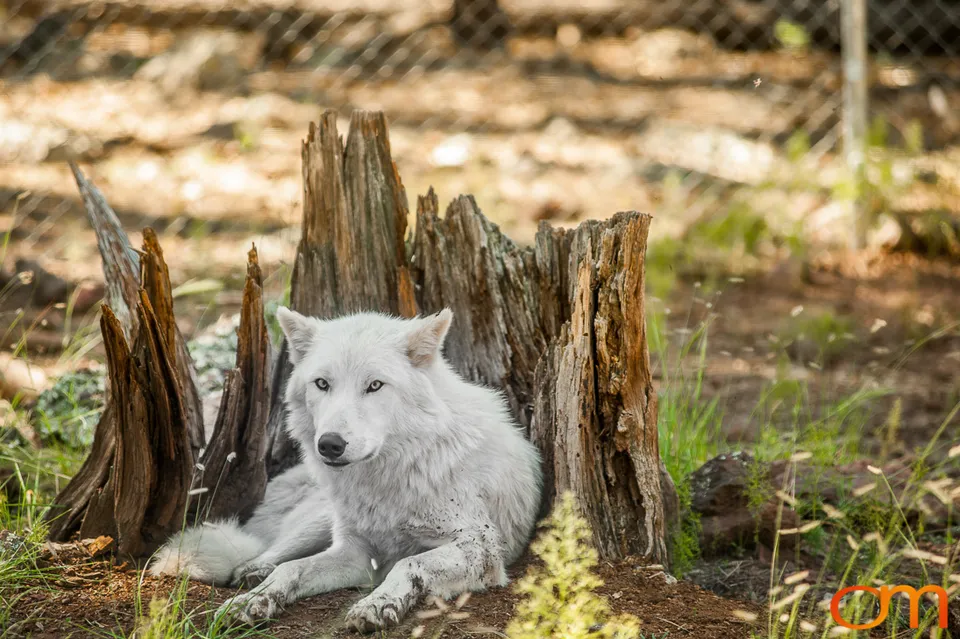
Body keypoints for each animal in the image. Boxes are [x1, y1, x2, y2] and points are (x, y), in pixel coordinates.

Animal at [150, 307, 543, 631]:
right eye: (322, 383)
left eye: (375, 385)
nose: (329, 444)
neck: (384, 480)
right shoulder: (357, 553)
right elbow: (292, 568)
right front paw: (254, 601)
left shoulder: (480, 547)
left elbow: (409, 563)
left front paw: (377, 604)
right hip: (319, 521)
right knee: (267, 556)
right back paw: (252, 575)